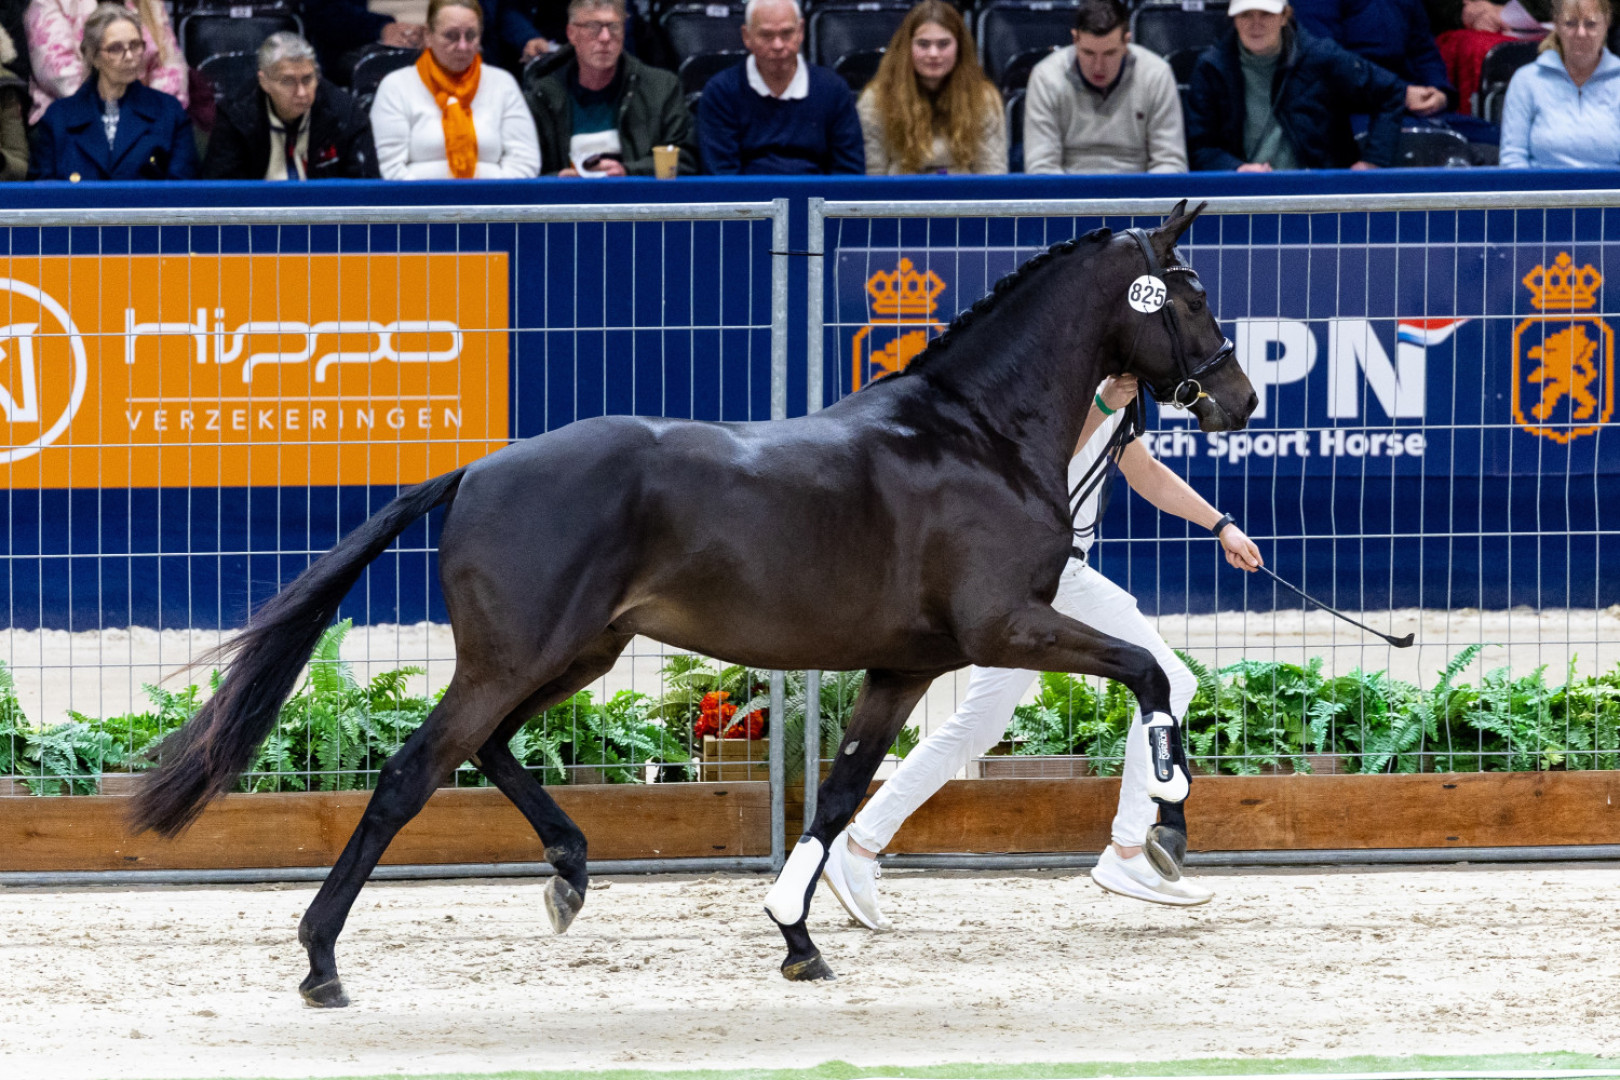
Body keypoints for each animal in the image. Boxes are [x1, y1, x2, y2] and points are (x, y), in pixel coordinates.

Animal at [131, 200, 1257, 1005]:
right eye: (1193, 292)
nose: (1240, 399)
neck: (973, 435)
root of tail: (475, 470)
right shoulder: (1009, 628)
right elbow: (1150, 674)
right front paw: (1168, 825)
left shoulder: (903, 666)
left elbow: (839, 794)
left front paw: (796, 936)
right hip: (516, 660)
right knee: (413, 772)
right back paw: (322, 961)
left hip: (573, 656)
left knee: (488, 750)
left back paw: (569, 871)